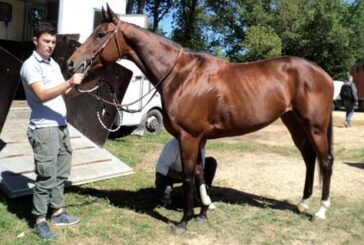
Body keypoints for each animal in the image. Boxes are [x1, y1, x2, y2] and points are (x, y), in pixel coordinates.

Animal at [67, 4, 334, 234]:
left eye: (101, 34)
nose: (72, 62)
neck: (182, 75)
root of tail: (324, 75)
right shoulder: (196, 139)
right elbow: (199, 175)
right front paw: (203, 211)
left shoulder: (189, 137)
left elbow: (187, 177)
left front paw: (184, 221)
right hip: (295, 124)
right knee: (309, 159)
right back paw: (303, 202)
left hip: (315, 127)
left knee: (326, 161)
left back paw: (320, 212)